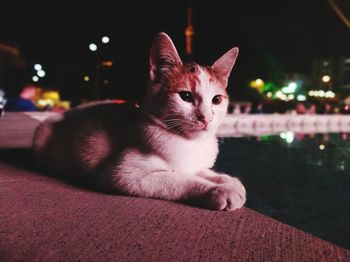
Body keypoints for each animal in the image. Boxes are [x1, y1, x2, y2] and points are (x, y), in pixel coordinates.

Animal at [32, 32, 246, 211]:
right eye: (185, 96)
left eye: (216, 100)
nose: (206, 117)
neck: (192, 143)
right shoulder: (123, 175)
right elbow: (180, 179)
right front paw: (217, 190)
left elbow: (203, 171)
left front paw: (226, 180)